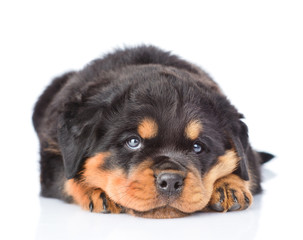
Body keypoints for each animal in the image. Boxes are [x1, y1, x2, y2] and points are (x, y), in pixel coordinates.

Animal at [32, 45, 274, 218]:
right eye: (133, 142)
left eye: (198, 147)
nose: (171, 182)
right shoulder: (53, 151)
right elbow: (67, 176)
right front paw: (96, 189)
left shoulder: (248, 153)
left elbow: (245, 169)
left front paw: (228, 185)